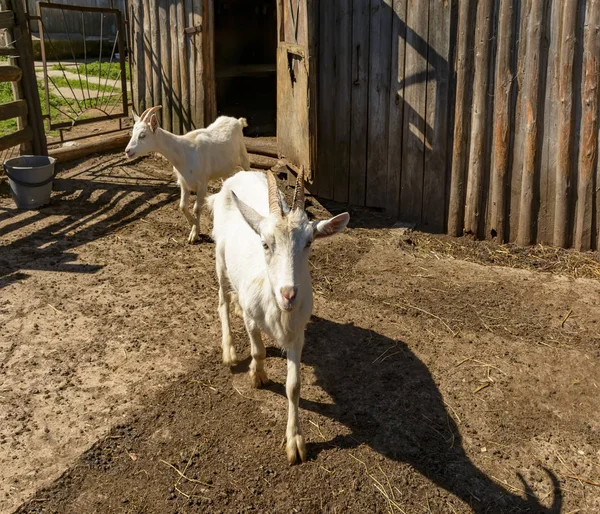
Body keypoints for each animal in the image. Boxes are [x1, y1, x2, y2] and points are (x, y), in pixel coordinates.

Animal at [125, 105, 250, 242]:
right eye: (133, 133)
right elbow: (182, 206)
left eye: (142, 135)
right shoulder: (184, 183)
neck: (184, 153)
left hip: (243, 155)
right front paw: (193, 225)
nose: (127, 151)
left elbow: (196, 208)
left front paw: (194, 234)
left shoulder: (202, 183)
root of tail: (237, 121)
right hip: (224, 167)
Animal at [207, 169, 350, 464]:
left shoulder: (298, 332)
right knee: (222, 299)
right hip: (219, 259)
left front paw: (295, 442)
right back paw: (229, 349)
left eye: (309, 243)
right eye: (265, 243)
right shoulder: (253, 319)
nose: (288, 294)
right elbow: (258, 350)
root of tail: (240, 174)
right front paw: (258, 376)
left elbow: (294, 385)